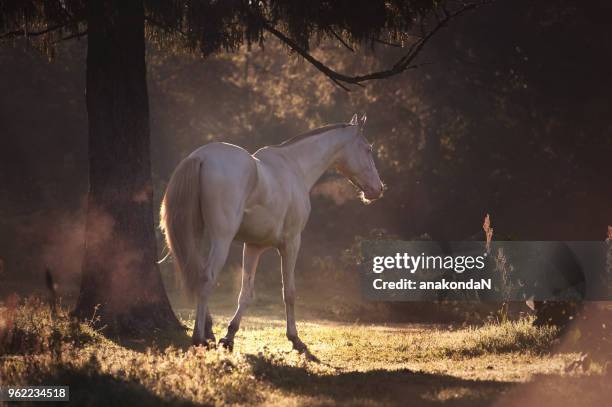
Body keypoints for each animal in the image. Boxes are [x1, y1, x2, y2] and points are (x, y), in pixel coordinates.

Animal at [160, 114, 384, 354]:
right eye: (368, 149)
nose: (378, 189)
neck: (294, 167)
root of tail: (201, 157)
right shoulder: (291, 243)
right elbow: (289, 292)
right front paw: (295, 339)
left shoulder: (253, 246)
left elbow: (246, 293)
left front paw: (229, 337)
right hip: (221, 239)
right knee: (206, 277)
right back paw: (199, 337)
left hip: (197, 235)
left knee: (195, 272)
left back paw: (209, 332)